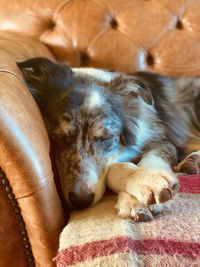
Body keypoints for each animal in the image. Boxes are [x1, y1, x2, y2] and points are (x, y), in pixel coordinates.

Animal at [17, 57, 200, 223]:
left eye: (105, 138)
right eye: (59, 138)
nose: (81, 201)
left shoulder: (163, 141)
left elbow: (143, 160)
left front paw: (148, 184)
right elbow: (114, 166)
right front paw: (135, 200)